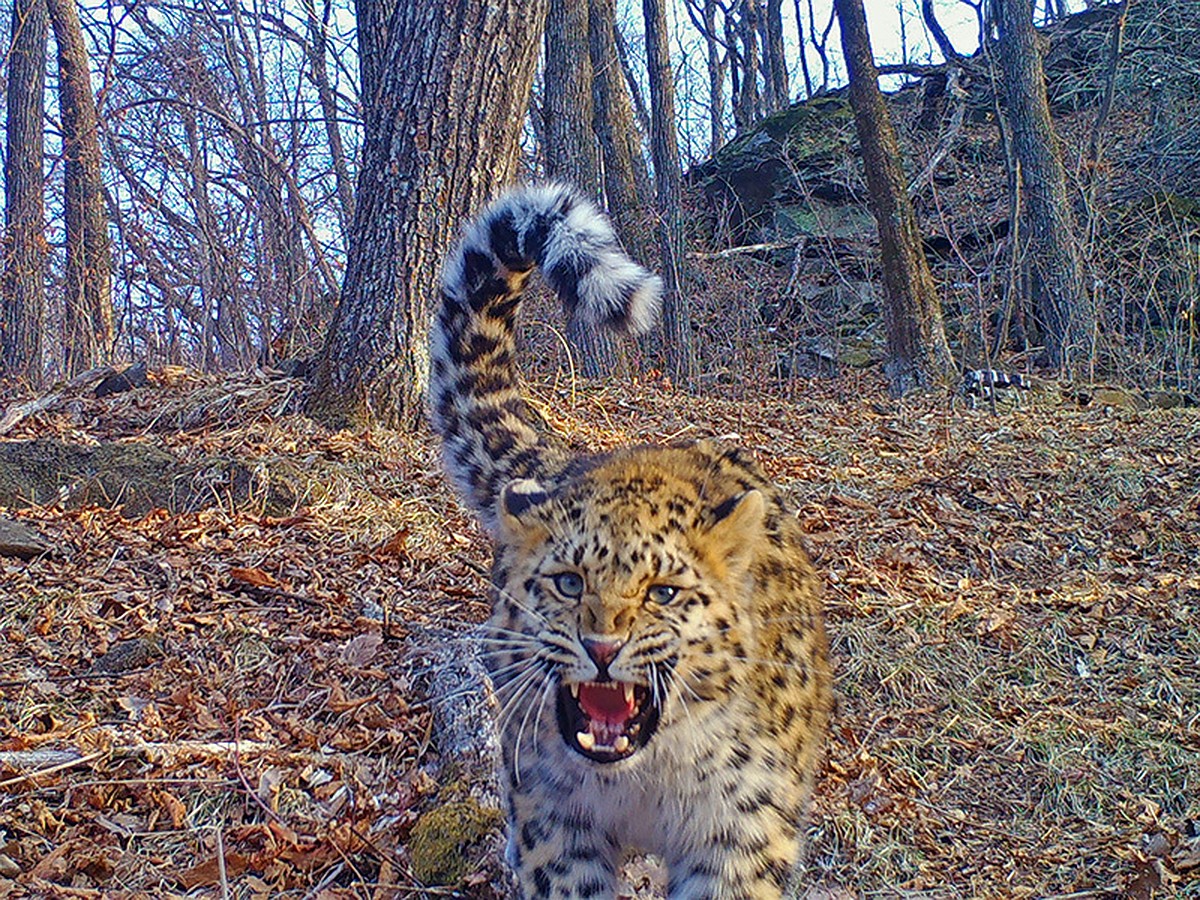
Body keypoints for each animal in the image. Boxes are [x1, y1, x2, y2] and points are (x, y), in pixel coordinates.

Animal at [432, 184, 835, 900]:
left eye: (664, 593)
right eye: (568, 583)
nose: (601, 648)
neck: (647, 778)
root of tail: (571, 460)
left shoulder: (740, 837)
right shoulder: (555, 823)